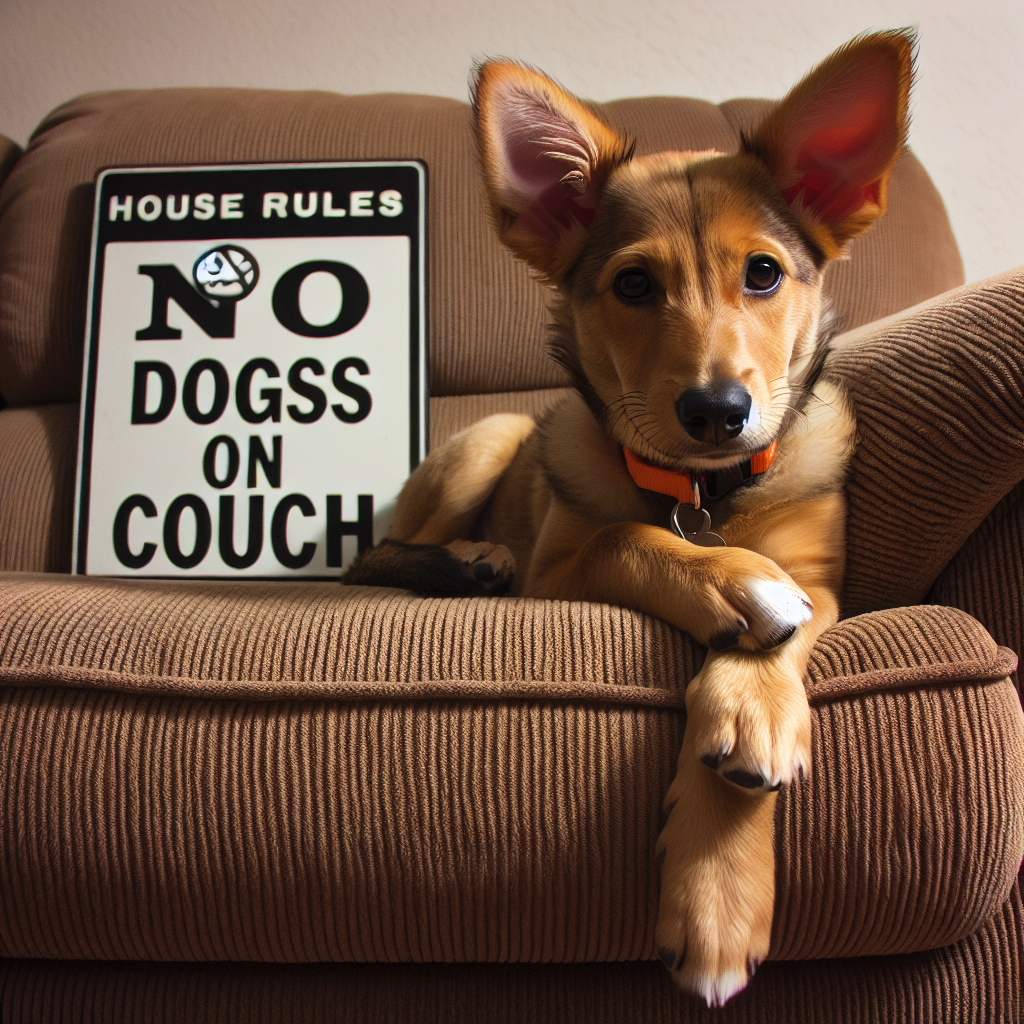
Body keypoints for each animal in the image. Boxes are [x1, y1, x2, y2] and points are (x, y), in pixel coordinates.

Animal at [344, 34, 913, 1007]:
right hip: (493, 436)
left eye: (765, 273)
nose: (717, 412)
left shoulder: (823, 584)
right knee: (387, 552)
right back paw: (472, 559)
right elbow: (626, 537)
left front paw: (722, 872)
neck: (704, 493)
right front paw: (733, 584)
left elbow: (778, 641)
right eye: (634, 284)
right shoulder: (559, 568)